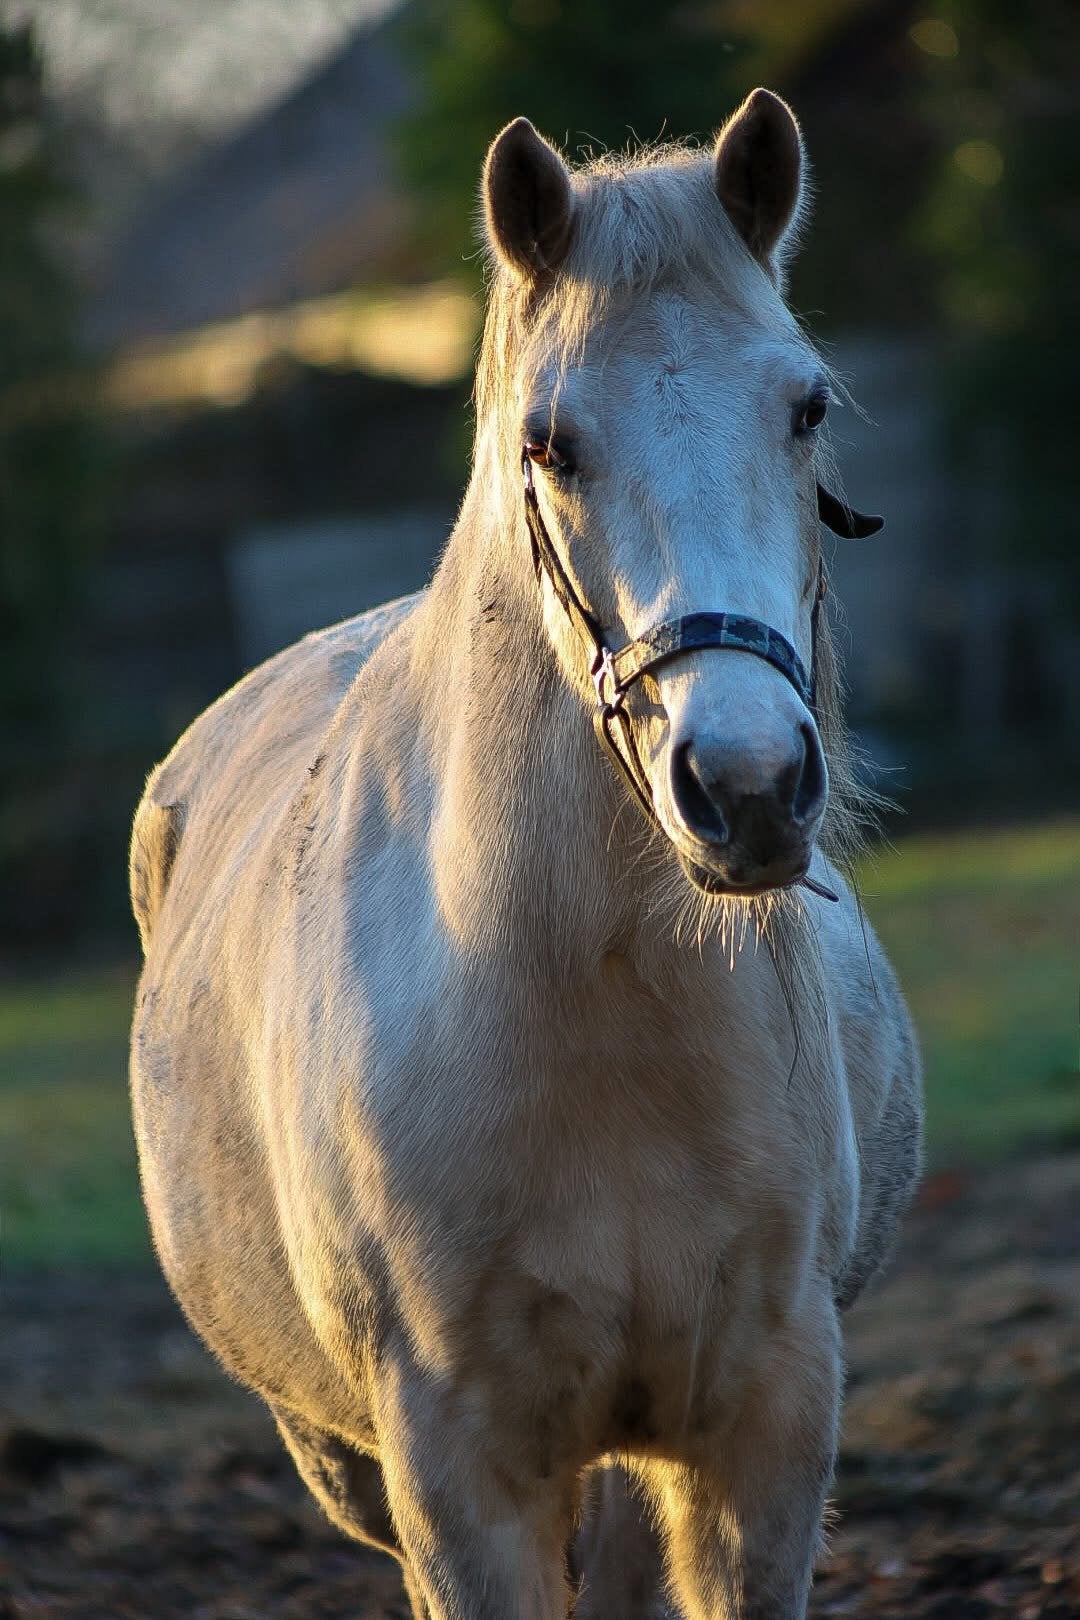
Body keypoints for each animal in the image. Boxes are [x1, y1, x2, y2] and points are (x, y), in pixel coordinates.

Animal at [129, 89, 922, 1620]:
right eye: (549, 441)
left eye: (807, 407)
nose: (747, 788)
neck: (588, 999)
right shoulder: (455, 1472)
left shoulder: (764, 1430)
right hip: (356, 1462)